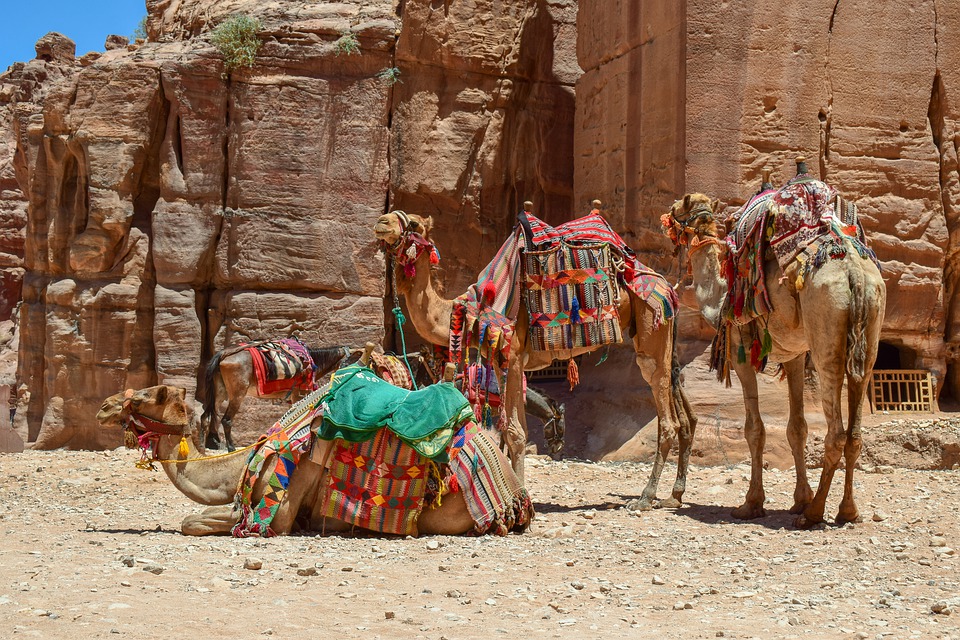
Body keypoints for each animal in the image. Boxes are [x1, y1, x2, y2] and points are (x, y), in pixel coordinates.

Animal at [372, 208, 692, 508]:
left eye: (413, 223)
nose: (382, 222)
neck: (473, 311)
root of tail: (666, 287)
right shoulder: (508, 365)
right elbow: (513, 430)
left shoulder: (512, 358)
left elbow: (514, 432)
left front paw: (520, 494)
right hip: (664, 341)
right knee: (684, 416)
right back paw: (674, 496)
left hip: (652, 327)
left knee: (667, 419)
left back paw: (646, 497)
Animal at [668, 168, 884, 528]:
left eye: (675, 212)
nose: (665, 219)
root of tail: (853, 272)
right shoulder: (795, 356)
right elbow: (797, 428)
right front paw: (800, 498)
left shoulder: (740, 350)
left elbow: (754, 428)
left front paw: (752, 503)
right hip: (869, 330)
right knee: (854, 430)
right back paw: (847, 510)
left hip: (826, 338)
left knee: (836, 432)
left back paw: (814, 514)